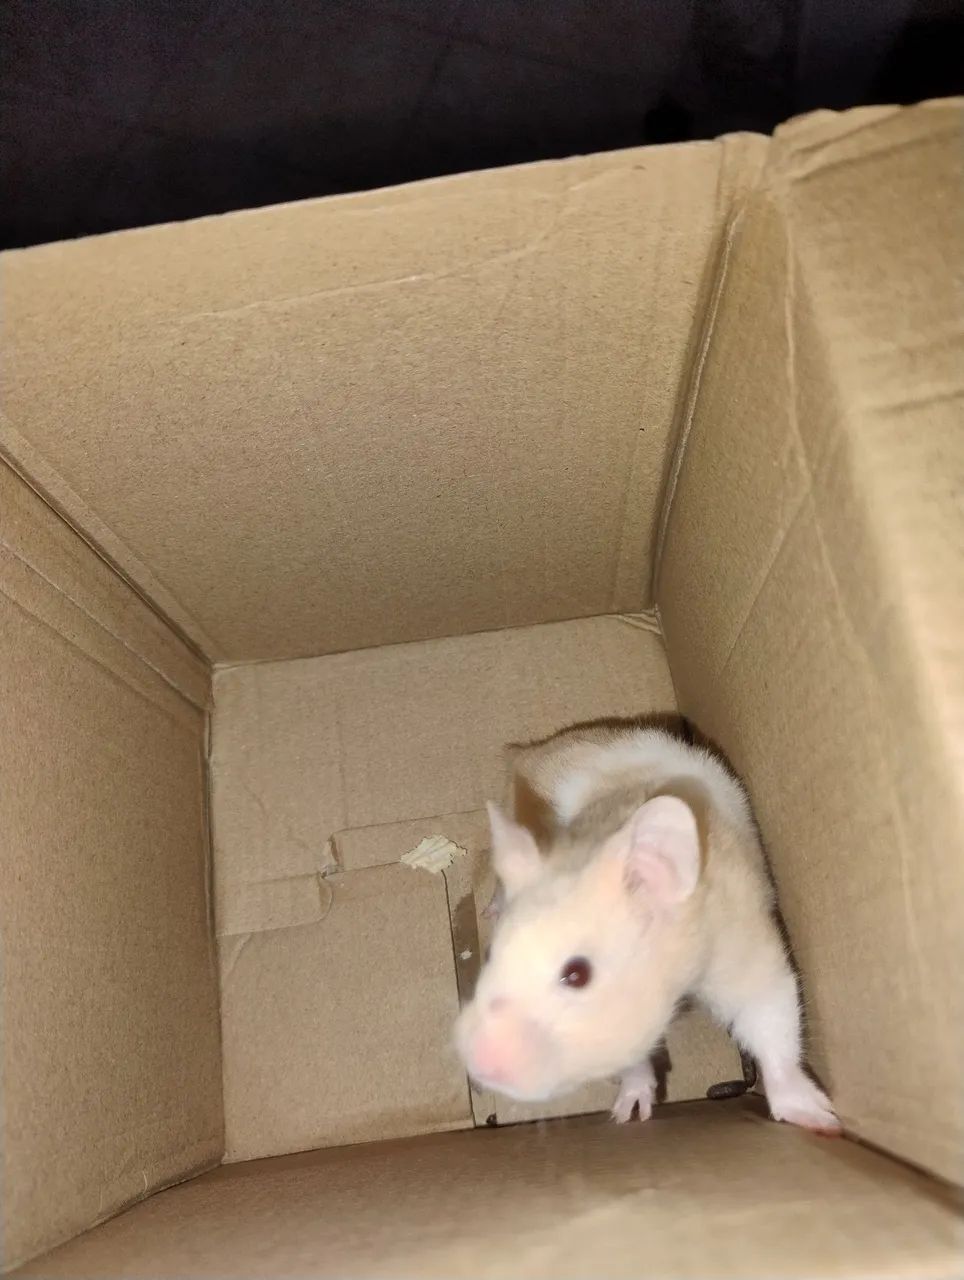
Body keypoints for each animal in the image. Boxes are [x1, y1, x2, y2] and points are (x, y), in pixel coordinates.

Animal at [454, 721, 840, 1133]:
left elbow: (771, 1020)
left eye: (577, 974)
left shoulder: (745, 952)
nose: (476, 1066)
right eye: (489, 956)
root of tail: (525, 751)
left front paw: (823, 1120)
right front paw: (630, 1112)